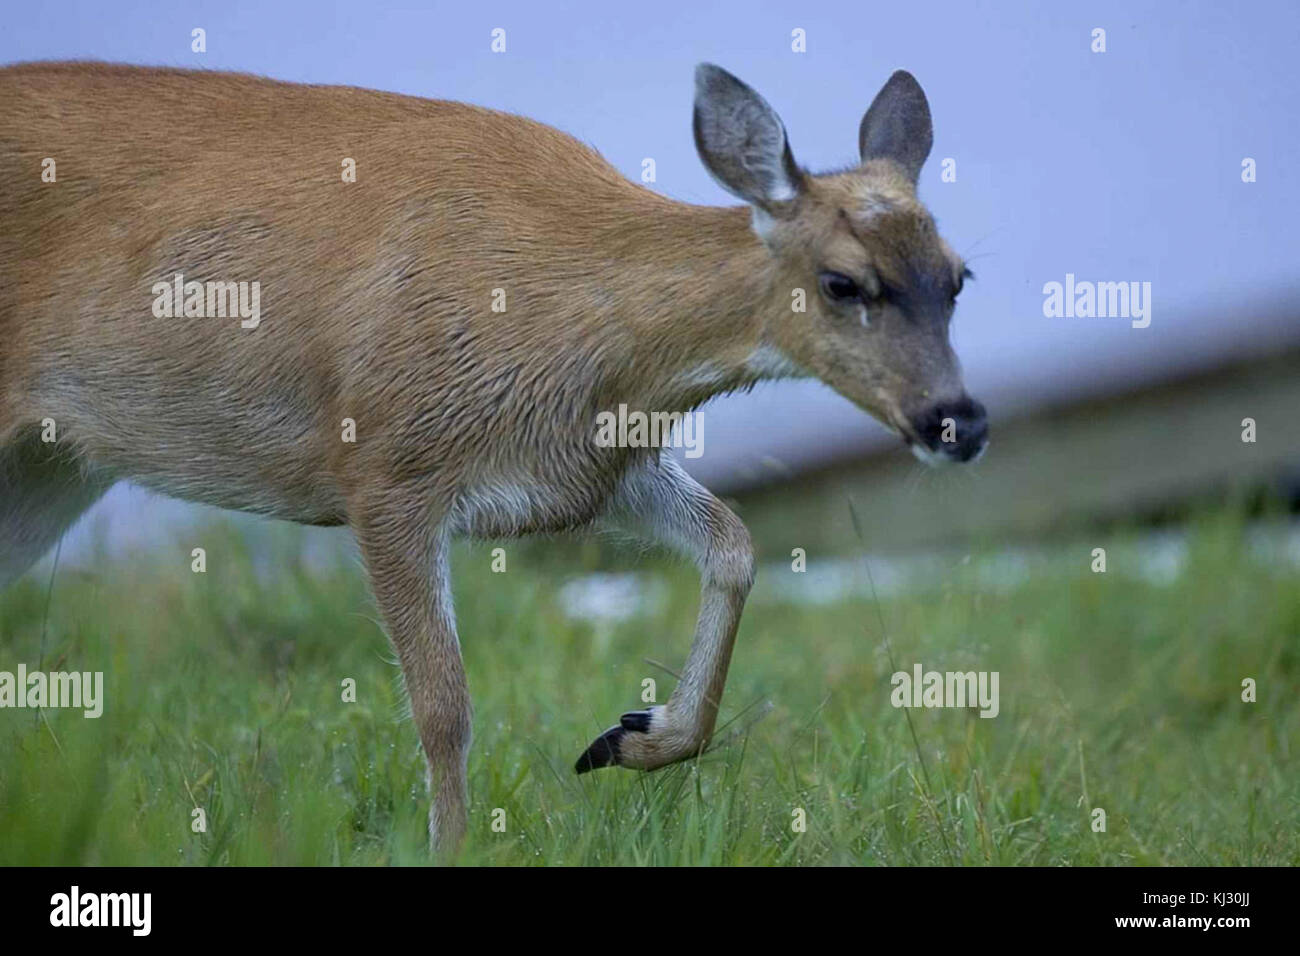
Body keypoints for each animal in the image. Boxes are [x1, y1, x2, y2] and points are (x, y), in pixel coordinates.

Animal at [0, 60, 987, 855]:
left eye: (959, 276)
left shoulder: (590, 469)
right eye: (842, 283)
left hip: (50, 469)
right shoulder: (387, 465)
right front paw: (454, 846)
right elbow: (445, 707)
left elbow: (736, 544)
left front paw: (631, 736)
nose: (960, 421)